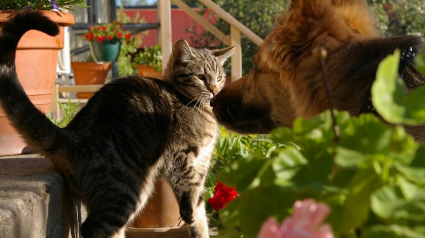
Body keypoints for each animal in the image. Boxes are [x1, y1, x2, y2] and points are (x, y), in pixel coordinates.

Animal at [0, 11, 232, 238]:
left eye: (220, 77)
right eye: (201, 76)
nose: (214, 89)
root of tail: (72, 135)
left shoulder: (202, 163)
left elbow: (200, 211)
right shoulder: (182, 157)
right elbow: (190, 199)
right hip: (127, 190)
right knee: (95, 227)